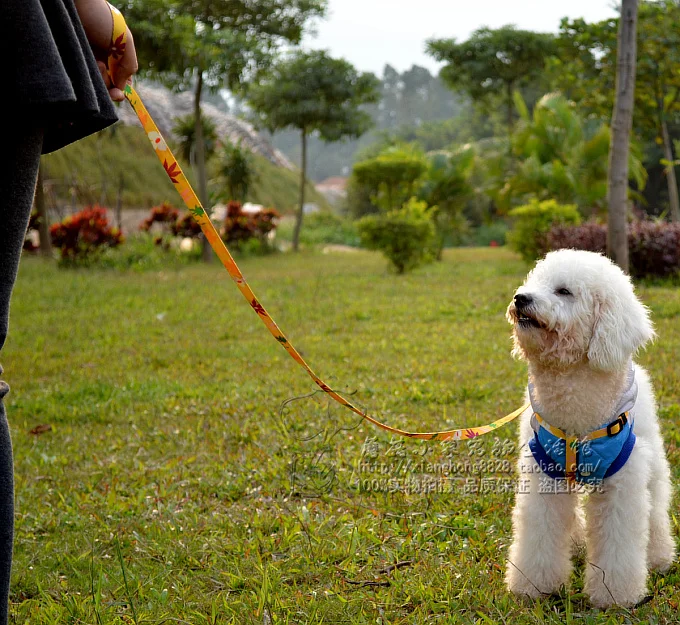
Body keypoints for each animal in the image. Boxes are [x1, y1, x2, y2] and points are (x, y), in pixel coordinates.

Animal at [504, 251, 676, 608]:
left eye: (564, 291)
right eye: (535, 281)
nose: (520, 298)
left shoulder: (621, 483)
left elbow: (619, 539)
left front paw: (614, 595)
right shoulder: (545, 478)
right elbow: (540, 532)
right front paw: (534, 586)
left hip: (651, 463)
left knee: (655, 509)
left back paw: (659, 557)